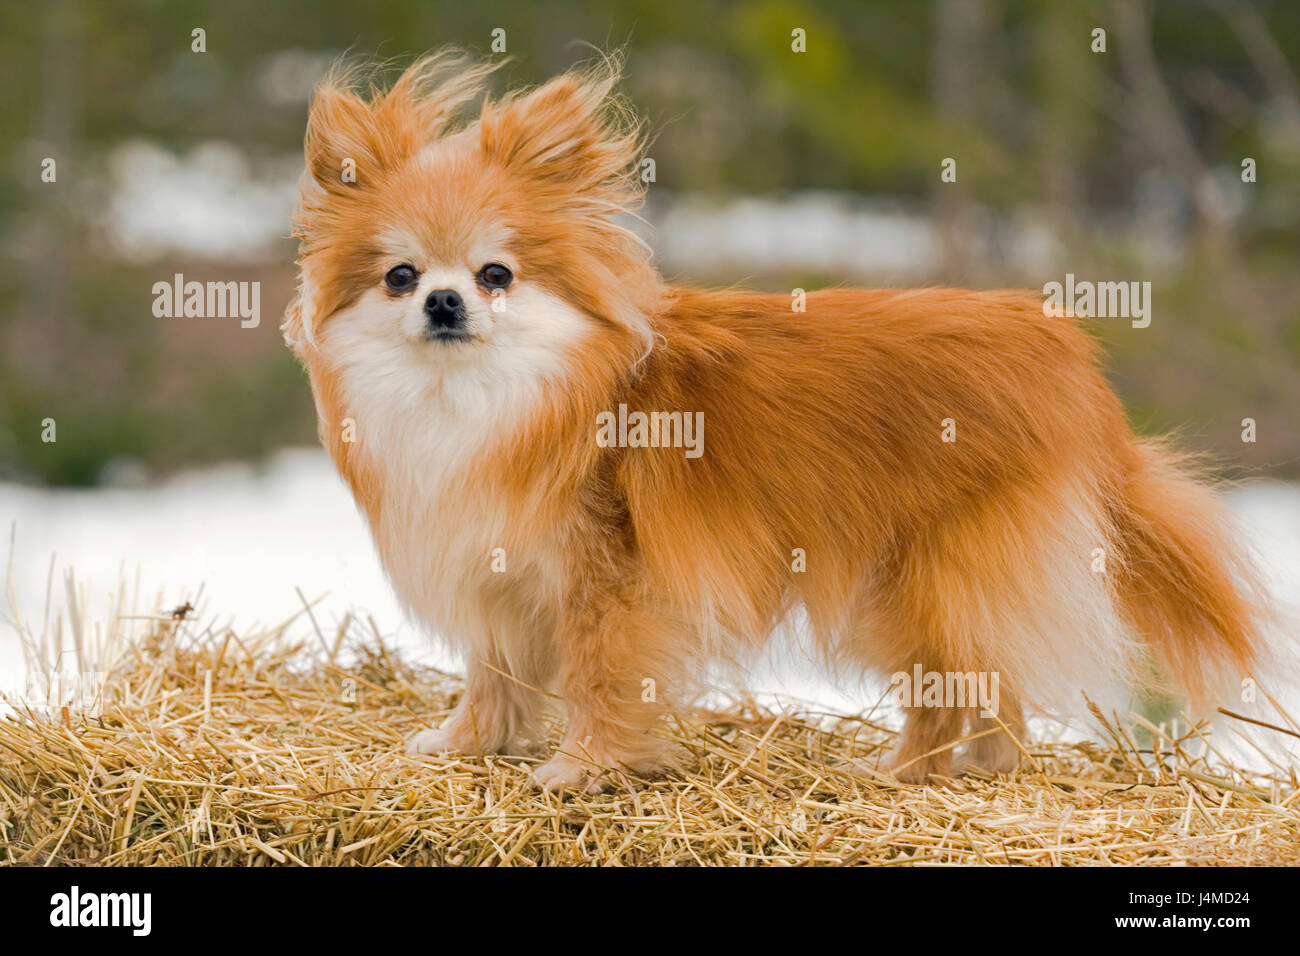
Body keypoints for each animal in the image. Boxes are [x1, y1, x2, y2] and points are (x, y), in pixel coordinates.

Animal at [282, 48, 1268, 790]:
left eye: (496, 275)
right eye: (400, 277)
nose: (445, 302)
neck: (479, 400)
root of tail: (1075, 368)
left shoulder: (604, 580)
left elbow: (599, 676)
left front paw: (582, 770)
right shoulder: (495, 573)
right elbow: (493, 674)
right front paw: (466, 744)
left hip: (914, 578)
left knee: (954, 685)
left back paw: (903, 771)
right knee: (992, 687)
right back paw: (968, 770)